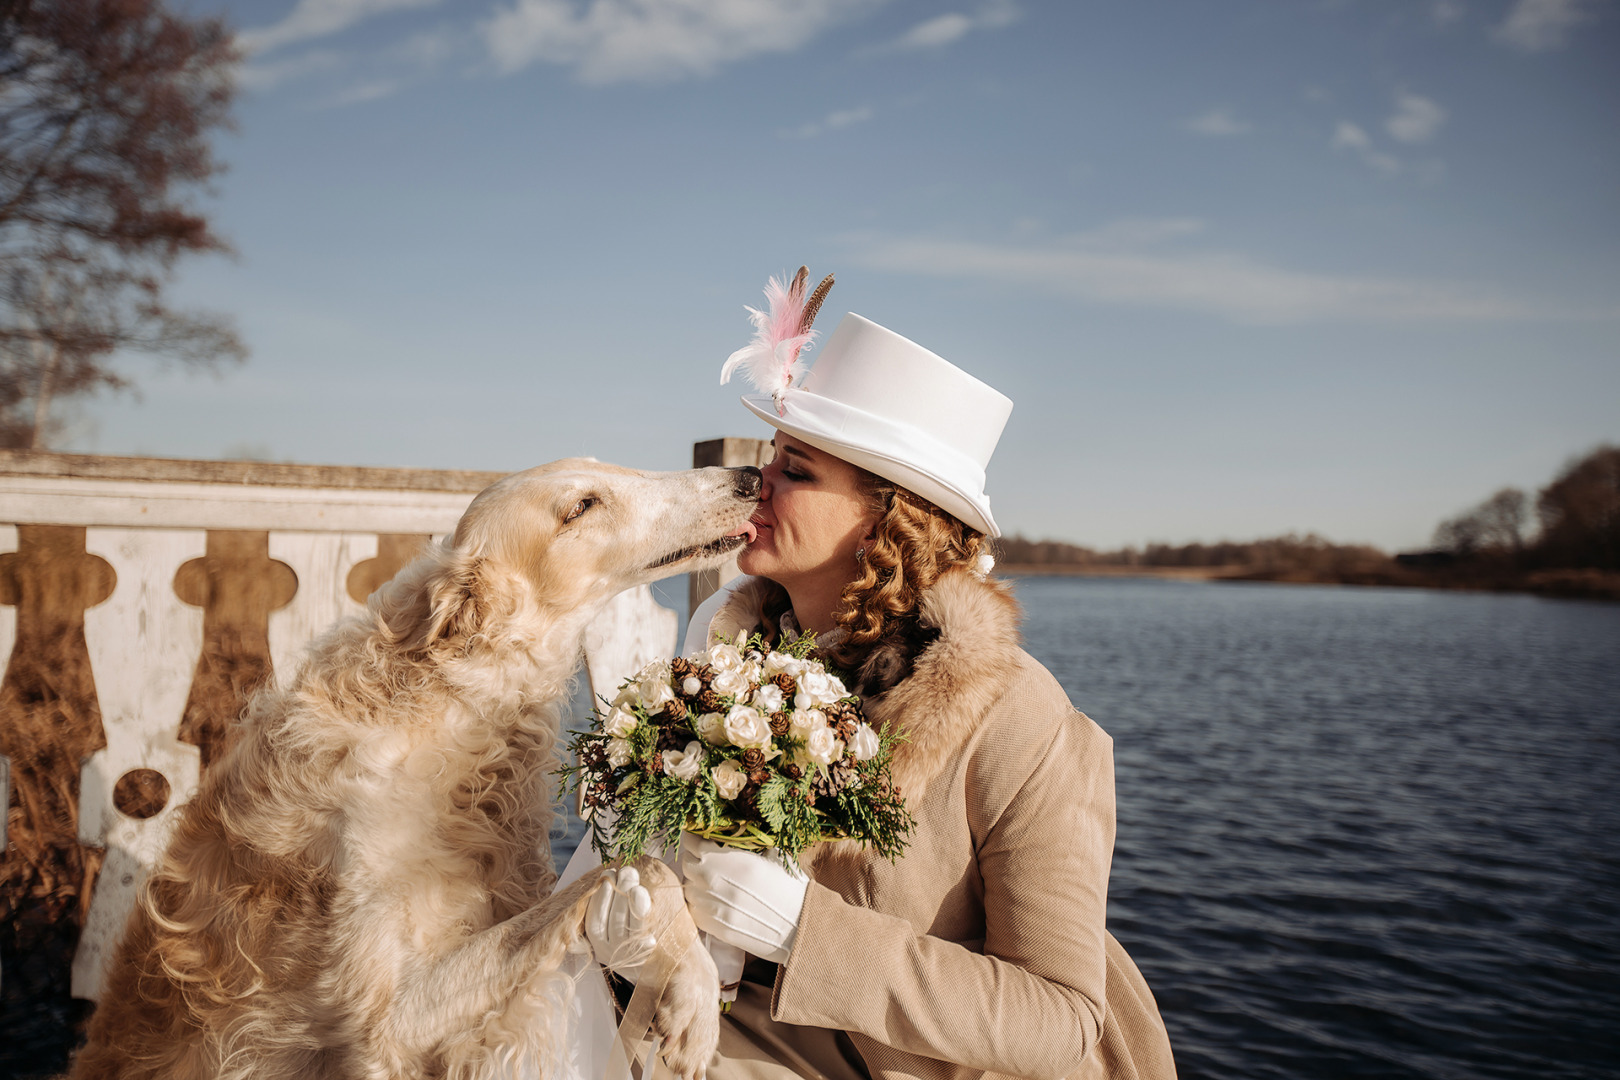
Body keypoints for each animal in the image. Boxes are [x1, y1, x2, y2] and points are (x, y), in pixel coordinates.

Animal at [71, 463, 758, 1080]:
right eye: (581, 505)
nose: (749, 476)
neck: (442, 715)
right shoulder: (388, 1021)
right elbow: (627, 870)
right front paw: (696, 1004)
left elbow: (639, 870)